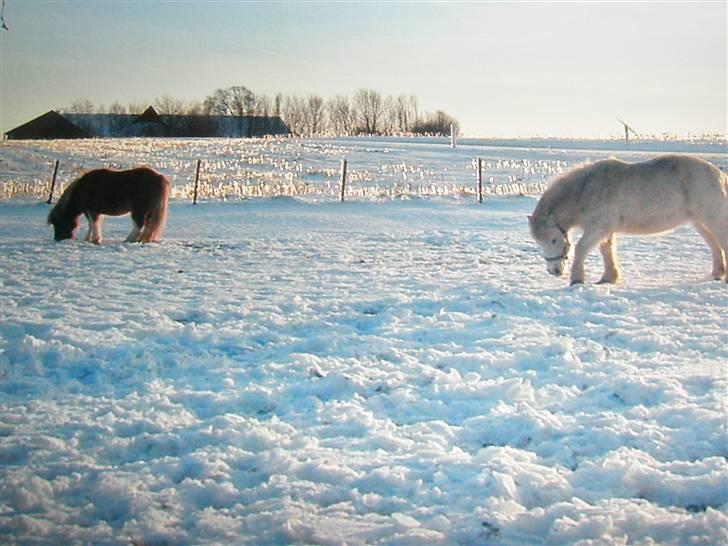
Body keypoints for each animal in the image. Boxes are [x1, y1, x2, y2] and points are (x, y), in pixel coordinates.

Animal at [528, 154, 728, 284]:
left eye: (554, 239)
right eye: (538, 241)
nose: (554, 271)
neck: (587, 189)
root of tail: (718, 174)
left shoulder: (597, 228)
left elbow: (581, 248)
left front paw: (577, 280)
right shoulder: (605, 230)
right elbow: (607, 251)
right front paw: (609, 278)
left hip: (712, 216)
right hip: (699, 221)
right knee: (714, 244)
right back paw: (717, 273)